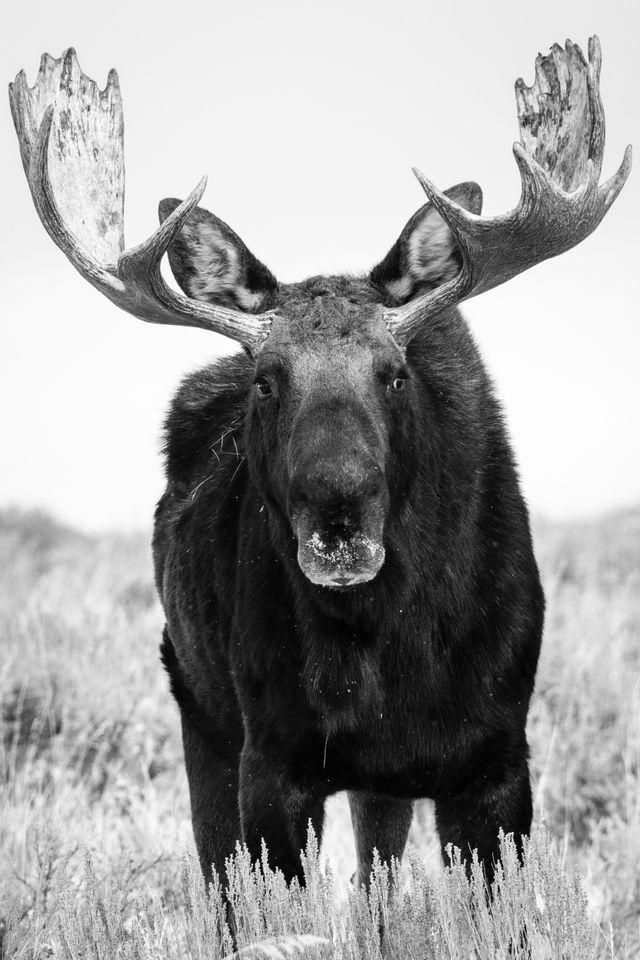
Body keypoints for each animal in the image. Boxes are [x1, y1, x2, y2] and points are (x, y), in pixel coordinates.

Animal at [8, 39, 632, 892]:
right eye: (268, 379)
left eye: (393, 373)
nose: (338, 504)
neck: (389, 646)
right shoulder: (273, 759)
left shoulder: (498, 763)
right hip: (200, 709)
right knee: (223, 884)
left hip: (380, 783)